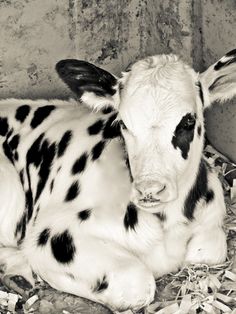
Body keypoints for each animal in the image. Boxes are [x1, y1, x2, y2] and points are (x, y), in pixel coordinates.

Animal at [0, 50, 234, 310]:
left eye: (188, 122)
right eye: (123, 123)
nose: (149, 189)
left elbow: (208, 252)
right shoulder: (50, 234)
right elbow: (137, 282)